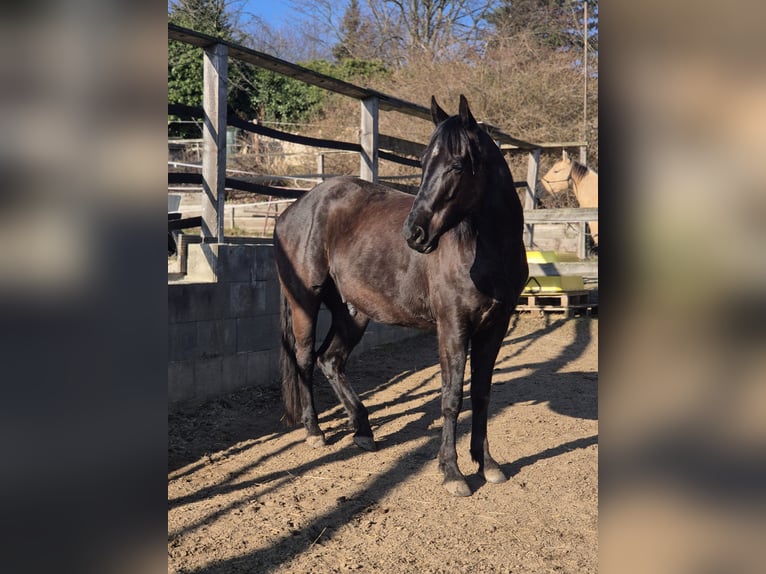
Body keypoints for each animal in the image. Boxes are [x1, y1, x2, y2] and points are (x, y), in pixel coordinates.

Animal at [273, 95, 528, 496]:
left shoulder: (494, 328)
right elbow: (451, 397)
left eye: (458, 165)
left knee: (330, 359)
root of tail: (292, 211)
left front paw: (487, 464)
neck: (486, 252)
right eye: (422, 163)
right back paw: (315, 432)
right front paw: (452, 472)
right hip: (305, 303)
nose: (414, 233)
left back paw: (363, 431)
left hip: (353, 311)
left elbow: (482, 395)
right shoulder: (453, 327)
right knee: (303, 358)